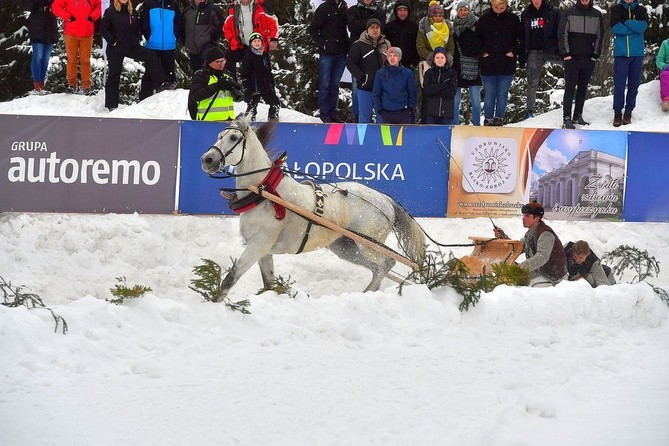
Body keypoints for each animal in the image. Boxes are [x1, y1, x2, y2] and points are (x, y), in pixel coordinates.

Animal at [200, 116, 422, 302]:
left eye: (233, 137)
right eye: (219, 136)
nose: (207, 160)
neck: (264, 193)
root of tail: (385, 199)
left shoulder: (258, 245)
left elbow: (230, 278)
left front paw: (215, 302)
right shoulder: (263, 251)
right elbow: (270, 283)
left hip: (367, 244)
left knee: (388, 264)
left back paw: (368, 293)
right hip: (346, 247)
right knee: (378, 268)